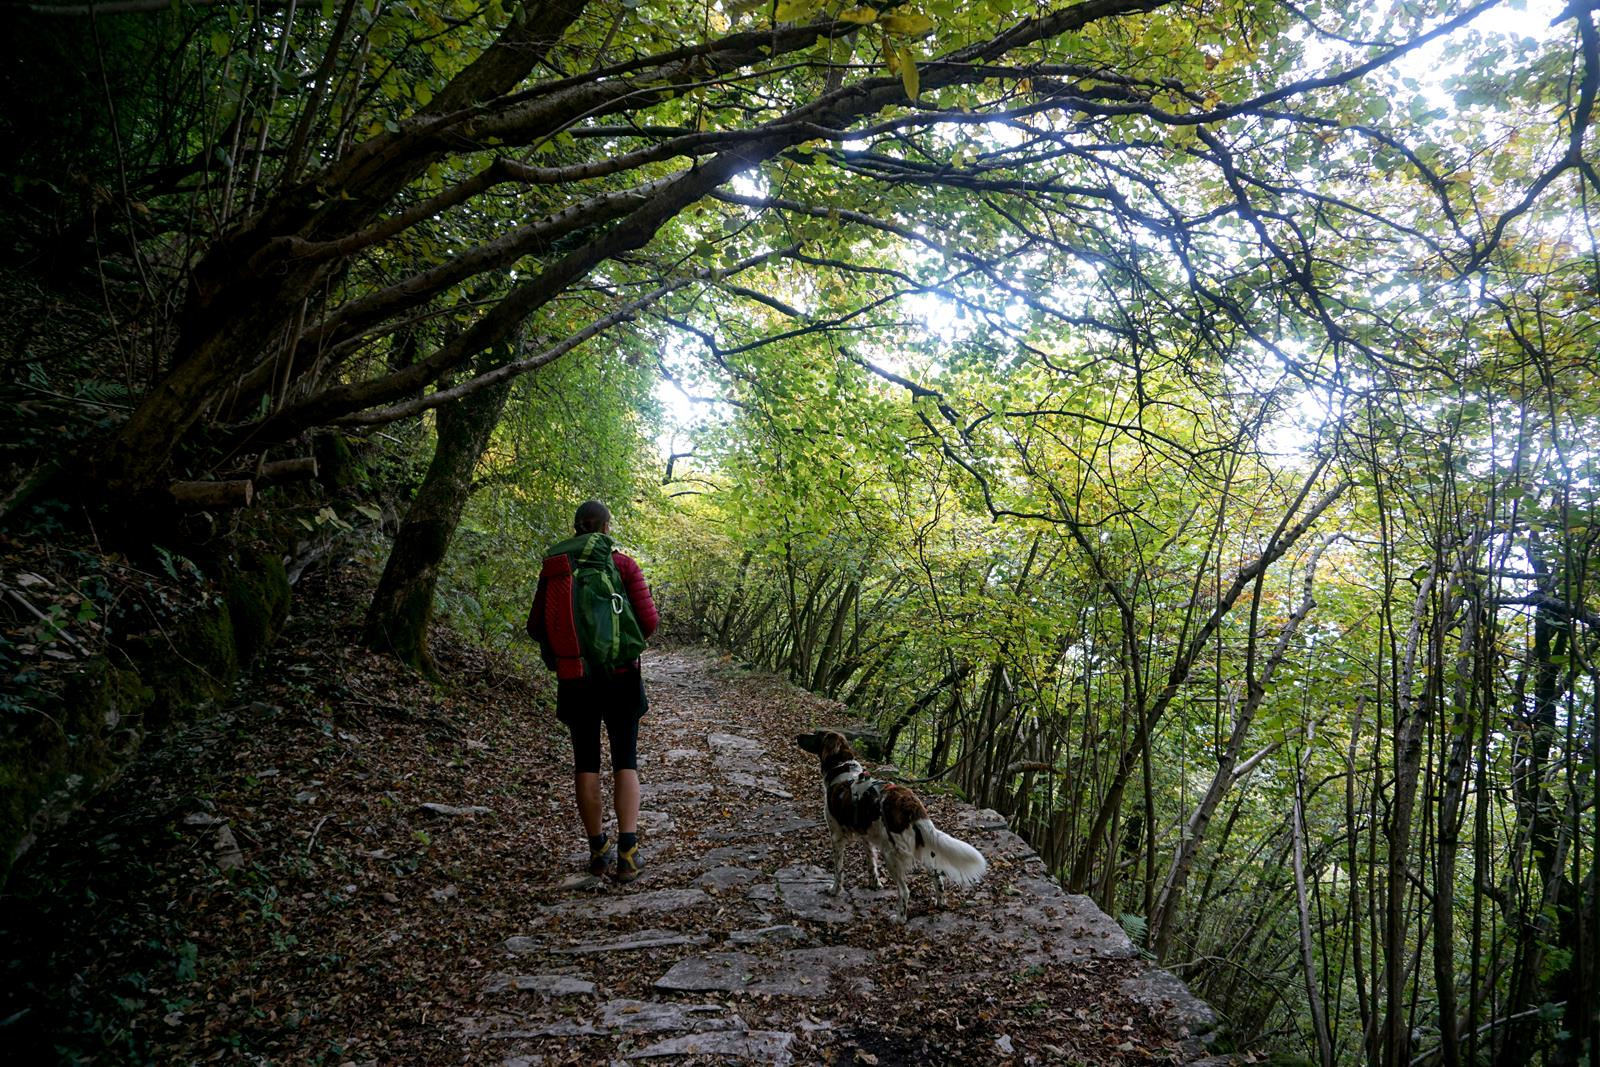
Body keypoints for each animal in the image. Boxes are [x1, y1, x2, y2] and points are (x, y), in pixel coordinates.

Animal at [790, 729, 979, 921]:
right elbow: (871, 862)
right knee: (937, 878)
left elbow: (839, 870)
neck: (841, 769)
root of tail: (912, 804)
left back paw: (899, 918)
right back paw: (940, 903)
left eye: (816, 735)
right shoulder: (866, 834)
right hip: (921, 849)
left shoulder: (836, 836)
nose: (798, 736)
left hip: (891, 854)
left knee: (905, 891)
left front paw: (835, 890)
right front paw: (875, 883)